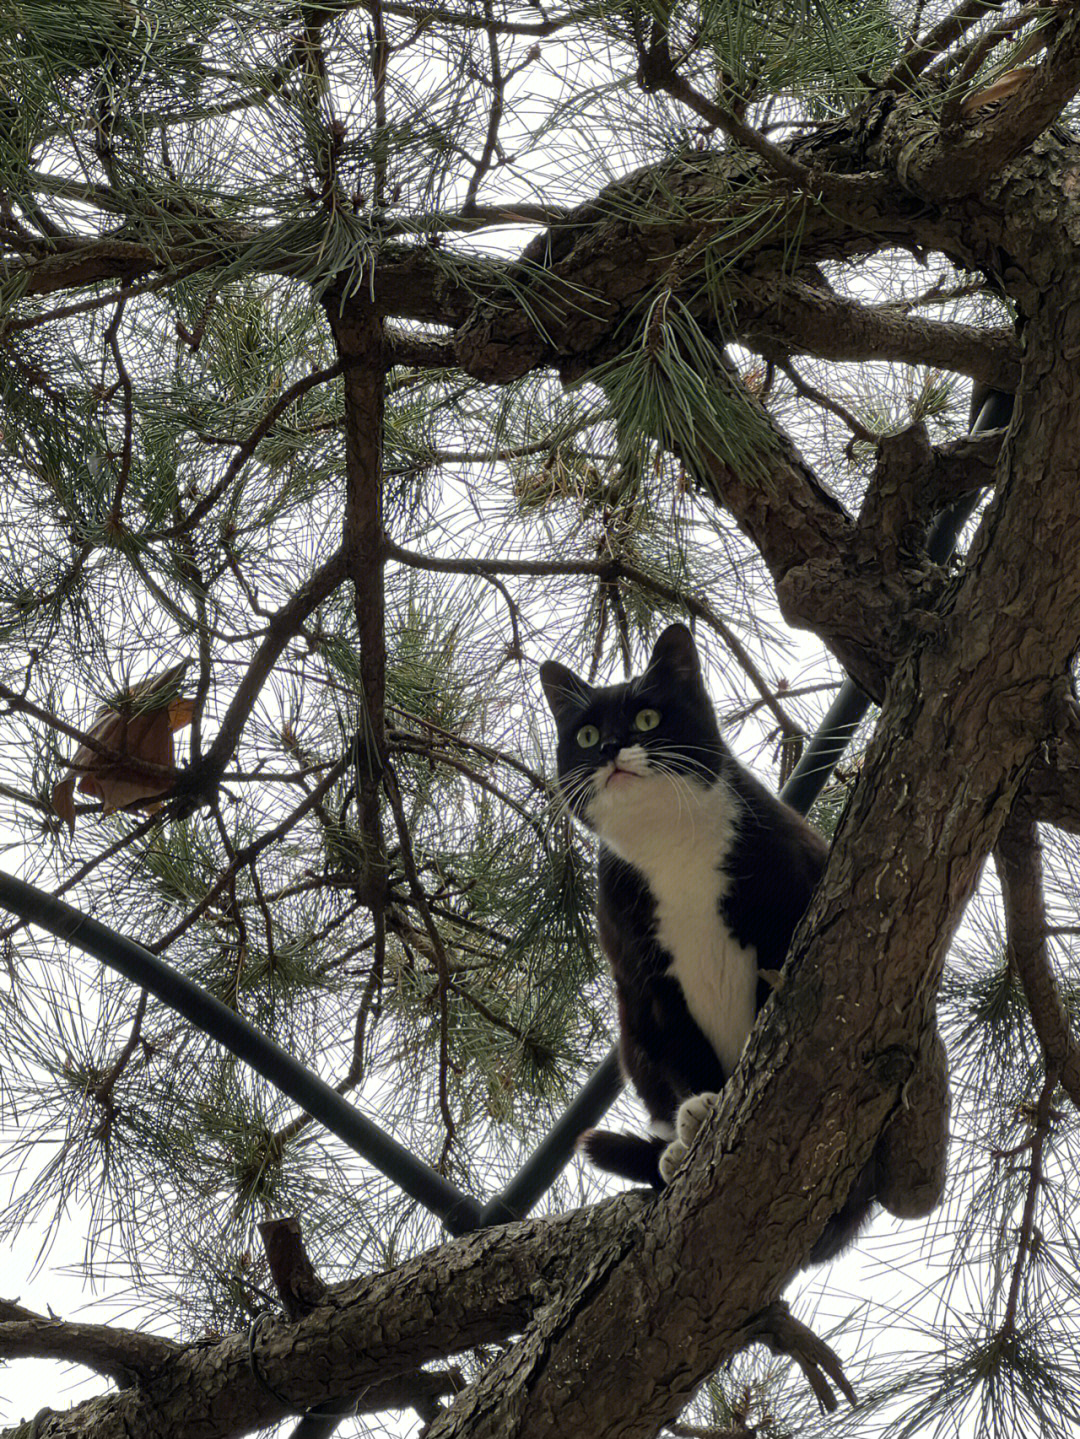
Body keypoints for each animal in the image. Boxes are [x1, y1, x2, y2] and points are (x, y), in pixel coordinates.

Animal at [540, 624, 880, 1266]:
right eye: (587, 734)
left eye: (647, 717)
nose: (611, 748)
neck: (671, 846)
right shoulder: (645, 976)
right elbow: (680, 1048)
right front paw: (703, 1110)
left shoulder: (788, 903)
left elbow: (775, 1012)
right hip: (632, 1036)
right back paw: (673, 1152)